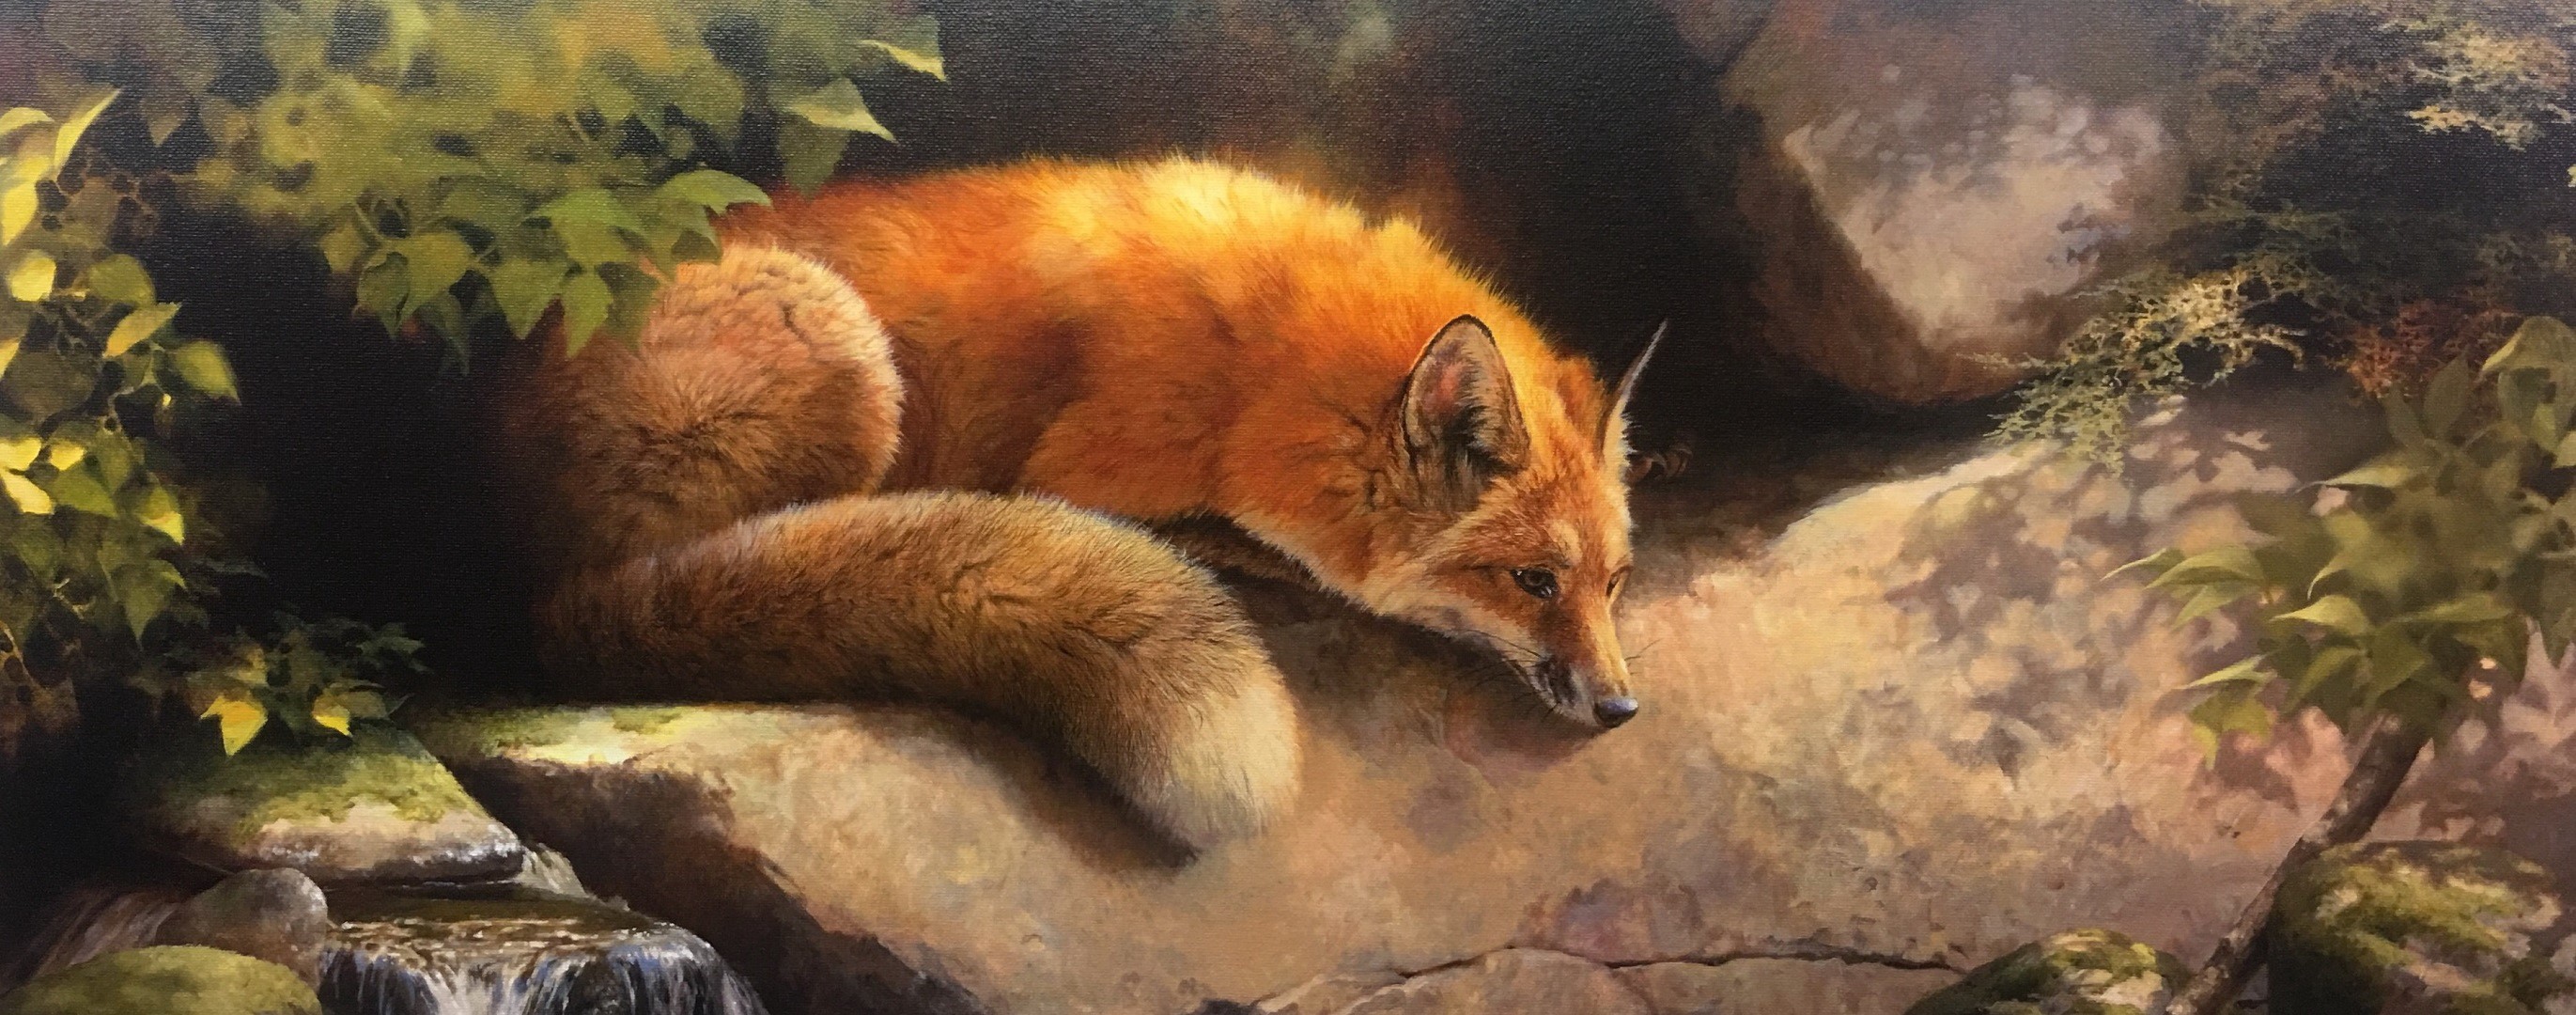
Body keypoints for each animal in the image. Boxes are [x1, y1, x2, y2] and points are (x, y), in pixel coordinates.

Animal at [496, 157, 1655, 850]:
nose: (1621, 711)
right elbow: (1234, 542)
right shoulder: (1071, 474)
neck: (1260, 366)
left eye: (1613, 583)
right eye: (1531, 580)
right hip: (847, 354)